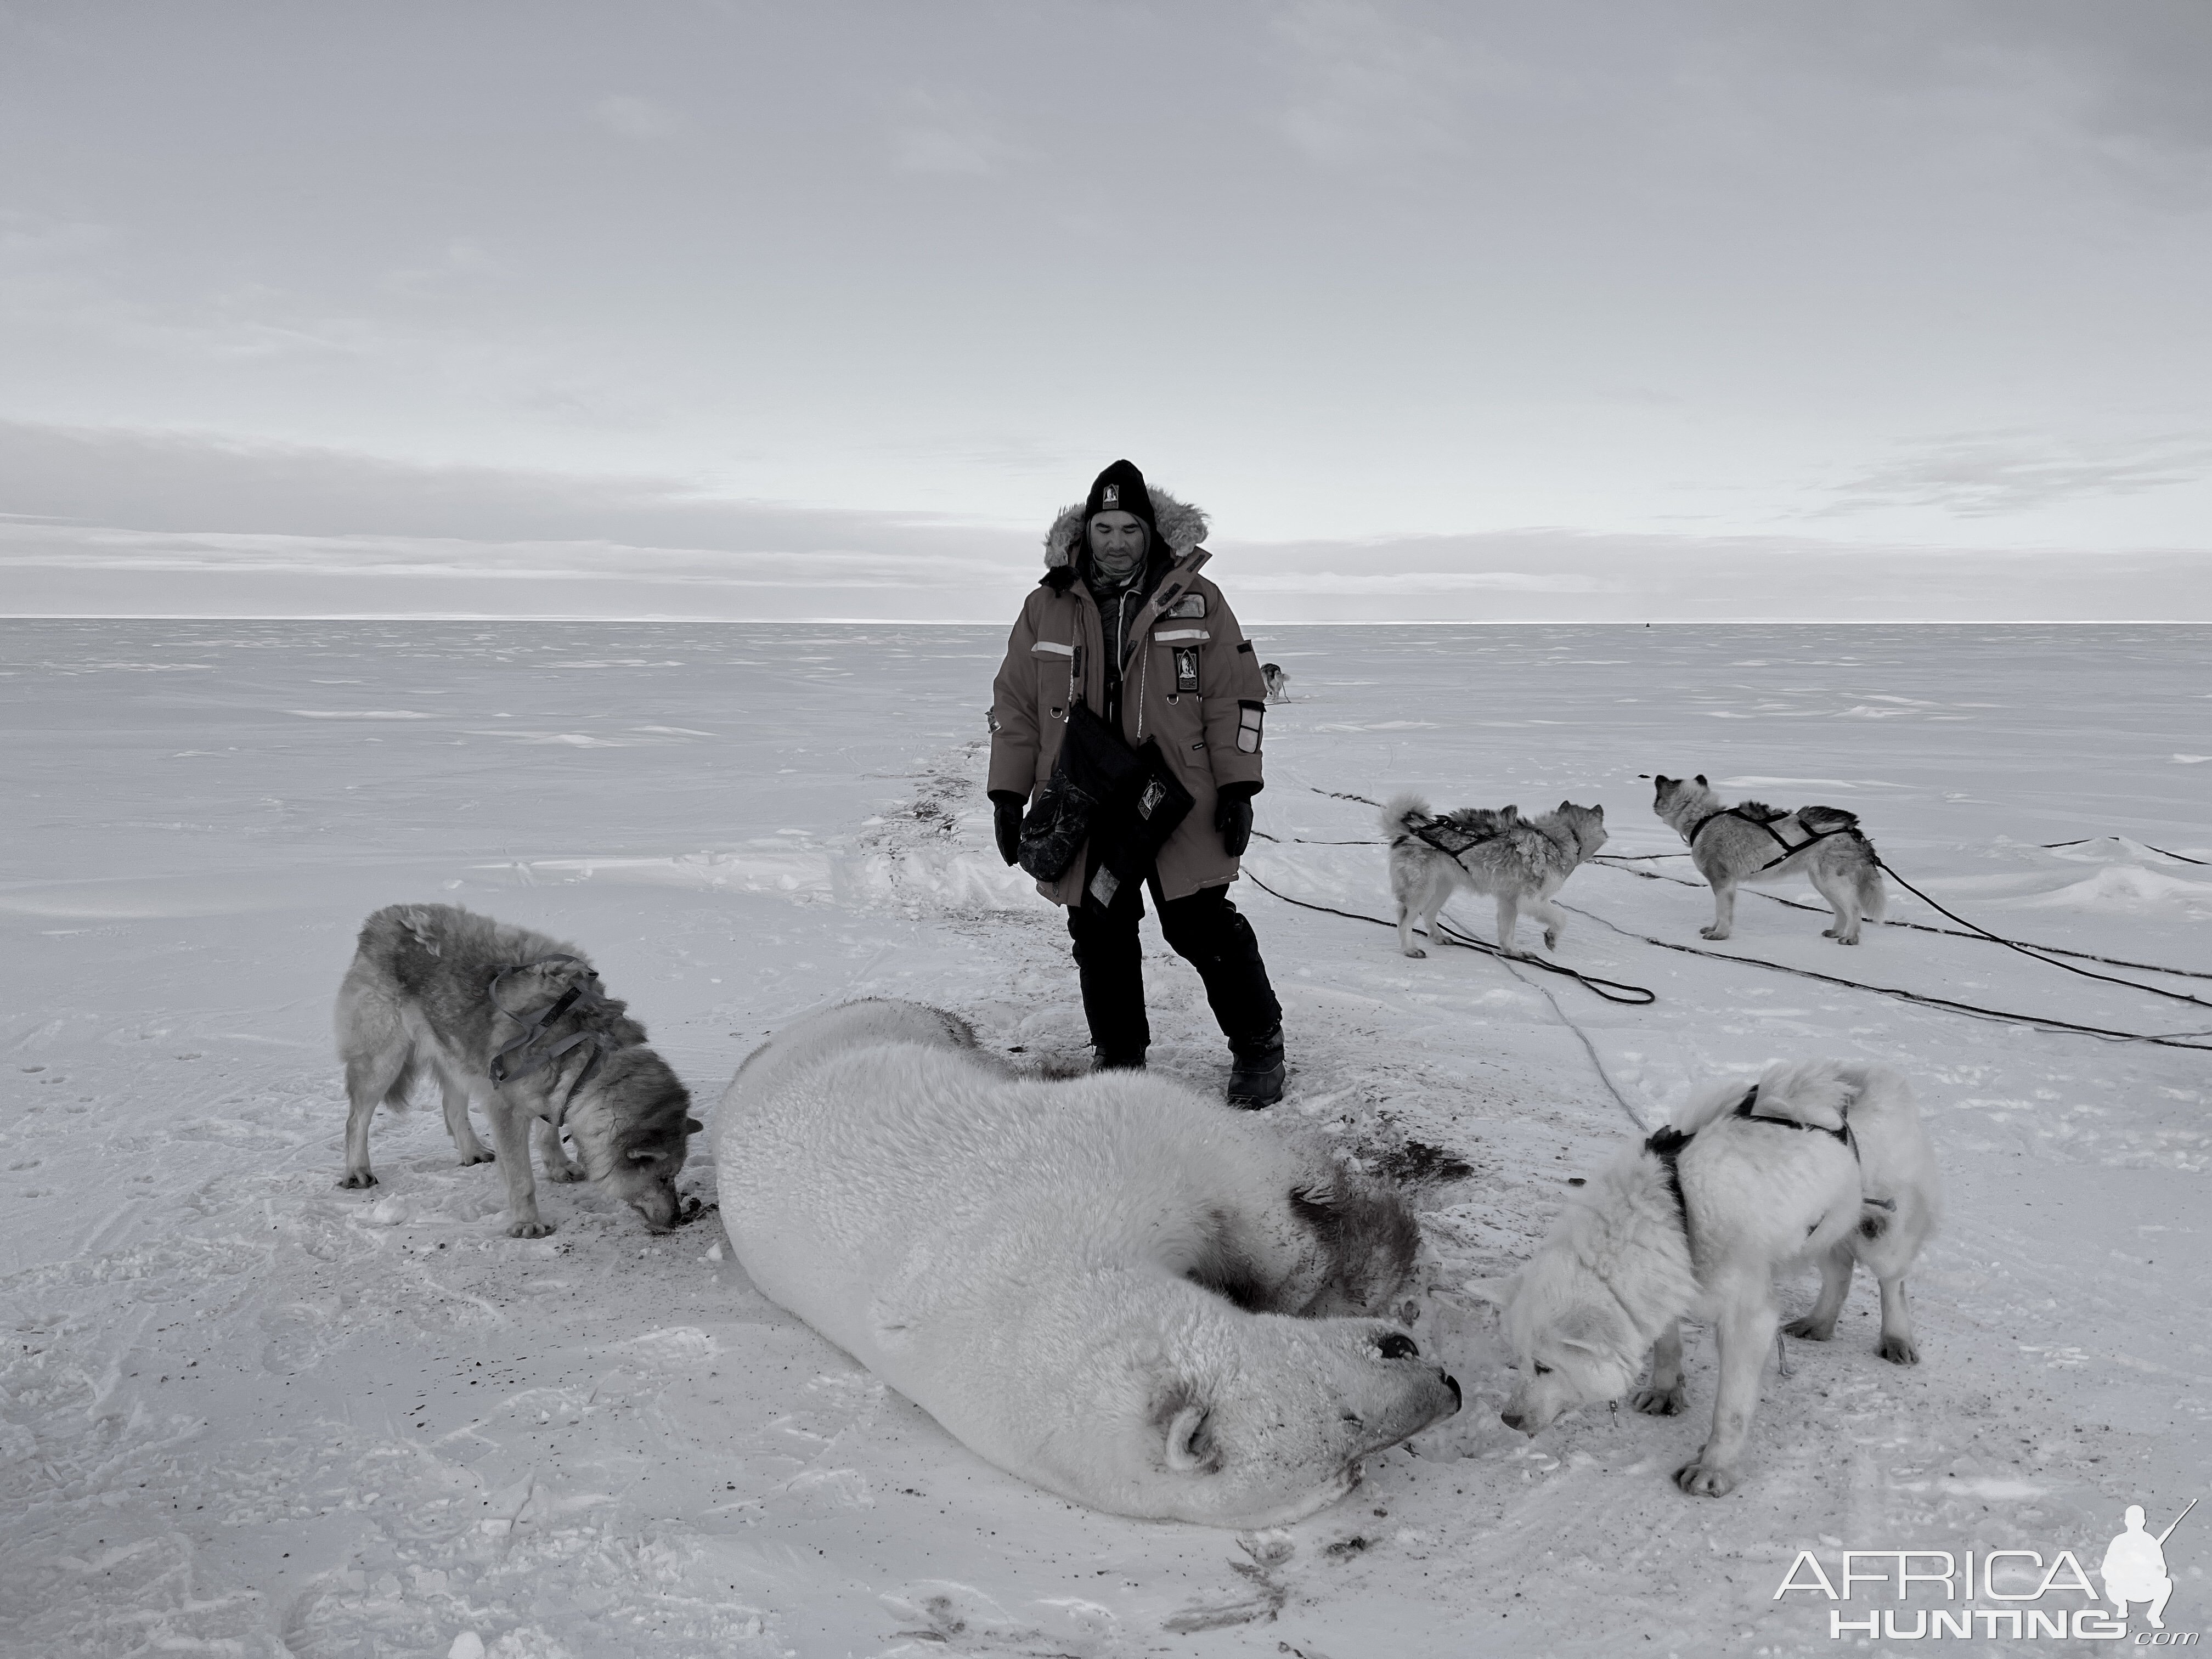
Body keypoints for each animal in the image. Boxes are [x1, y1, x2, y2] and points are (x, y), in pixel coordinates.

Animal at [334, 911, 699, 1238]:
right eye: (664, 1178)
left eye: (676, 1175)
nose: (679, 1219)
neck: (585, 1045)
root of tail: (381, 919)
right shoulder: (506, 1110)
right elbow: (522, 1179)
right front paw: (527, 1224)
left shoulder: (558, 1092)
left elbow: (550, 1131)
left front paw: (559, 1166)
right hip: (383, 1061)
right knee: (356, 1121)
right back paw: (358, 1171)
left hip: (457, 1052)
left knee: (452, 1109)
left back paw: (472, 1152)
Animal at [1380, 796, 1610, 960]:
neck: (1560, 837)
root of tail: (1413, 829)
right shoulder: (1530, 901)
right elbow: (1561, 918)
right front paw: (1551, 938)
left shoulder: (1509, 901)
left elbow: (1507, 933)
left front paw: (1514, 952)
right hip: (1421, 891)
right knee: (1405, 920)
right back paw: (1410, 949)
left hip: (1443, 888)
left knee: (1428, 913)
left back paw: (1439, 937)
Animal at [1486, 1066, 1938, 1504]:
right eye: (1518, 1359)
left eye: (1545, 1367)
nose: (1508, 1420)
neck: (1673, 1207)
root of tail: (1874, 1079)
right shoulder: (1672, 1280)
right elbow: (1667, 1345)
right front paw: (1666, 1392)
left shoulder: (1748, 1320)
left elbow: (1730, 1410)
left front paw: (1714, 1469)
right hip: (1821, 1233)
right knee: (1840, 1269)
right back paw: (1820, 1324)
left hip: (1880, 1236)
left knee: (1893, 1283)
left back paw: (1897, 1339)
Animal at [1654, 770, 1893, 942]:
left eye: (1673, 781)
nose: (1658, 776)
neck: (1704, 818)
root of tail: (1852, 830)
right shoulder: (1724, 884)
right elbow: (1720, 912)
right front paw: (1715, 928)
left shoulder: (1723, 881)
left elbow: (1723, 911)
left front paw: (1720, 934)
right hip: (1822, 882)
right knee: (1840, 910)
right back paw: (1836, 932)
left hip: (1832, 881)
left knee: (1854, 908)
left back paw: (1851, 938)